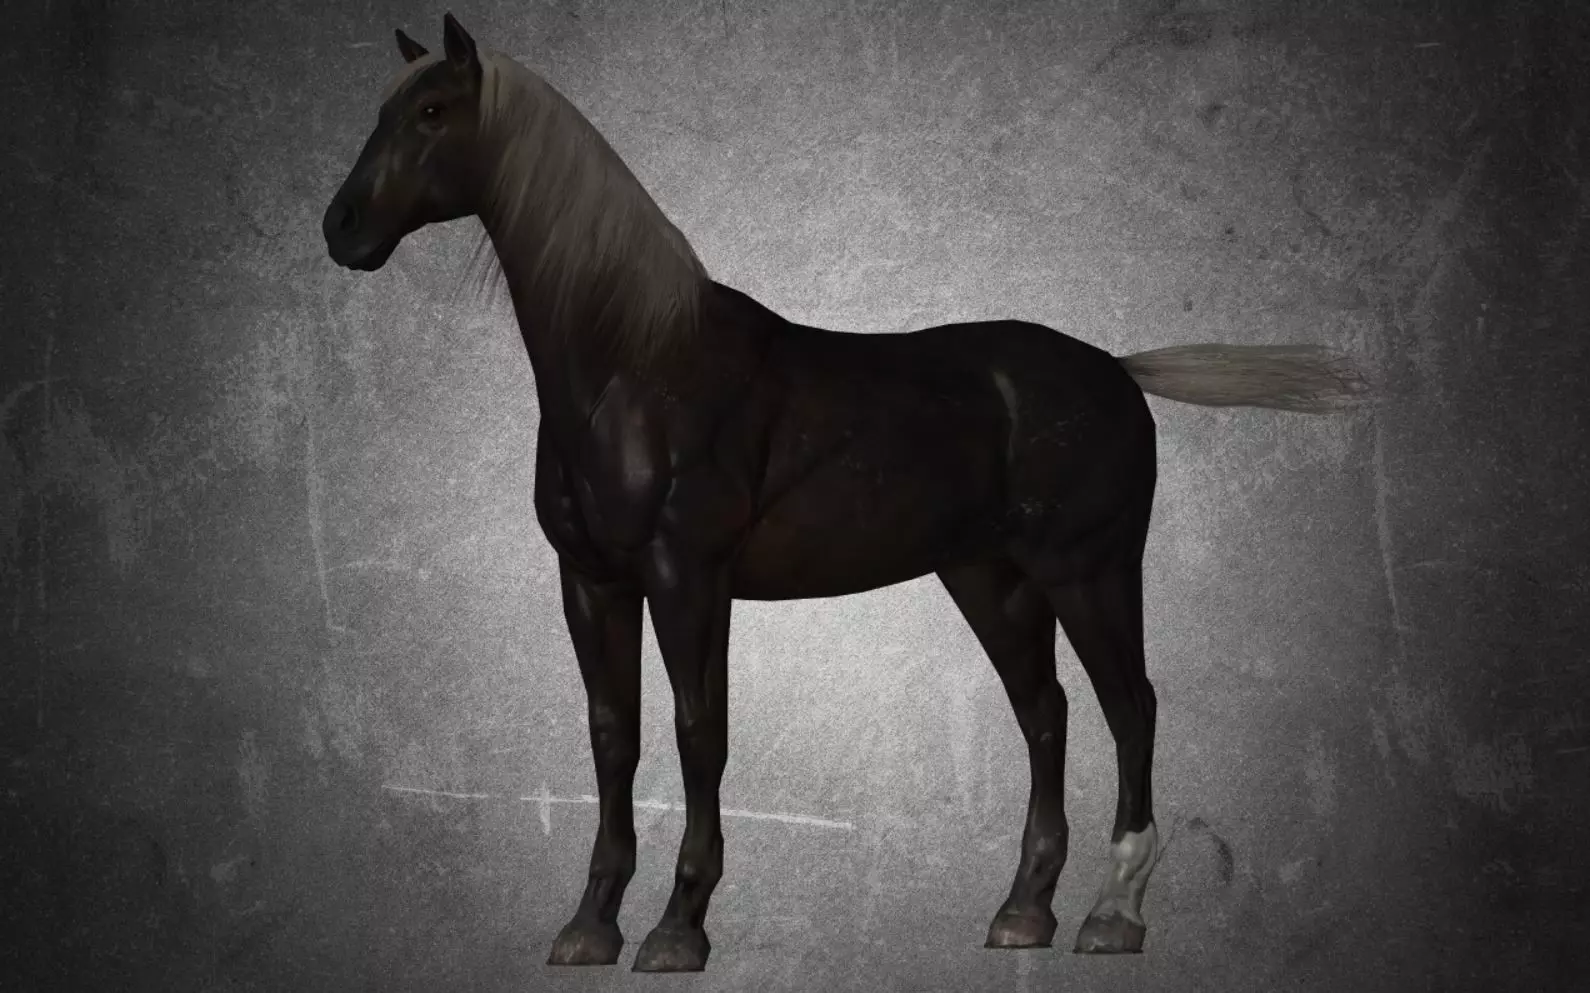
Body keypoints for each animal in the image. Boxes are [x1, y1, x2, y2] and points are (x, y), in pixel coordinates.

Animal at [322, 13, 1371, 973]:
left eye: (431, 112)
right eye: (383, 111)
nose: (341, 229)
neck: (635, 366)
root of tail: (1115, 368)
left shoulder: (687, 575)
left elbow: (699, 731)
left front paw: (678, 927)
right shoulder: (591, 581)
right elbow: (612, 736)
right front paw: (588, 926)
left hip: (1090, 571)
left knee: (1132, 706)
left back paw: (1114, 914)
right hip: (991, 579)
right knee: (1047, 712)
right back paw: (1022, 910)